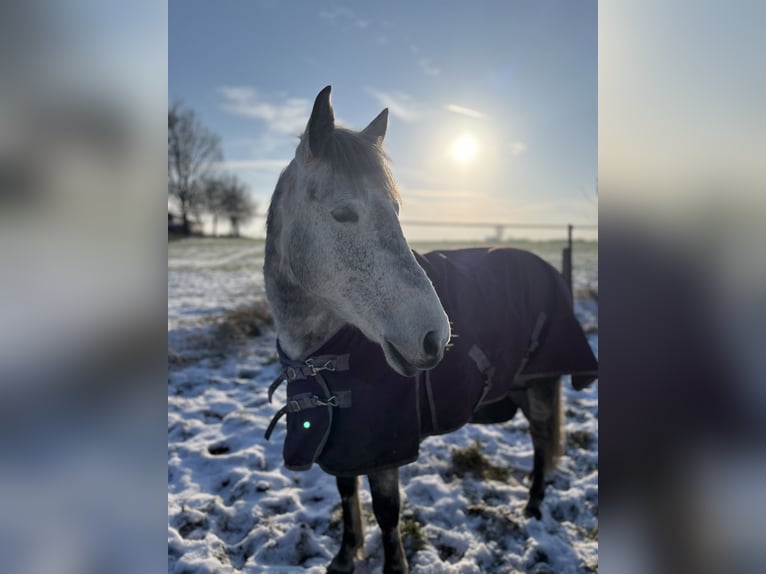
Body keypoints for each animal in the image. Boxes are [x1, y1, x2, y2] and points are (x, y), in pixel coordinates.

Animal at [264, 86, 600, 574]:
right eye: (342, 213)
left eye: (396, 210)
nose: (434, 338)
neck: (322, 354)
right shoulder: (345, 441)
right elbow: (346, 492)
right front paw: (345, 556)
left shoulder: (383, 449)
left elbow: (387, 512)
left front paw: (392, 566)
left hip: (541, 386)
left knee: (541, 443)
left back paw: (534, 506)